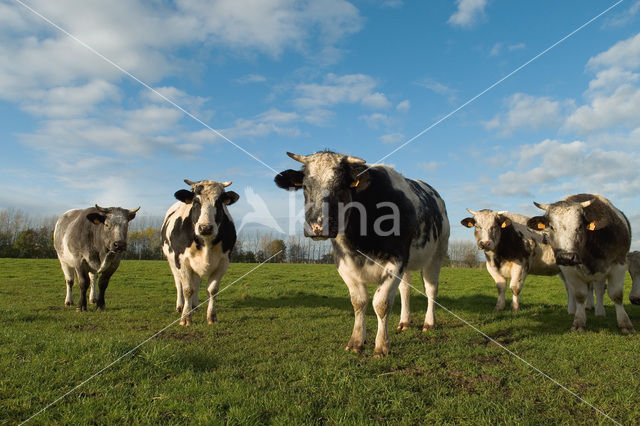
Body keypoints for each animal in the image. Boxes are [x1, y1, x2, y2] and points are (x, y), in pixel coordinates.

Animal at [161, 178, 239, 324]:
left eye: (219, 202)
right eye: (196, 202)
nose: (205, 228)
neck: (206, 242)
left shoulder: (223, 261)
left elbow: (212, 290)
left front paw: (212, 317)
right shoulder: (182, 260)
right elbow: (187, 289)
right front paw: (186, 318)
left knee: (196, 283)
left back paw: (194, 305)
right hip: (172, 261)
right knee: (179, 283)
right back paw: (180, 306)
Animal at [276, 150, 450, 356]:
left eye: (340, 186)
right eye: (304, 186)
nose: (317, 226)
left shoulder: (397, 260)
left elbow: (381, 303)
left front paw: (381, 346)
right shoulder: (344, 263)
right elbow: (359, 302)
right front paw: (356, 341)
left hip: (437, 253)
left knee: (431, 289)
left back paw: (429, 323)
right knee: (405, 289)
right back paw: (404, 322)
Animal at [460, 208, 604, 314]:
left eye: (495, 226)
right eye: (477, 226)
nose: (485, 243)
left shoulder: (521, 265)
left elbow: (514, 287)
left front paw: (514, 308)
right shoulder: (491, 267)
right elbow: (501, 287)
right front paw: (499, 307)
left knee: (593, 286)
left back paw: (591, 307)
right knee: (570, 287)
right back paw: (572, 310)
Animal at [524, 193, 636, 332]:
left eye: (580, 226)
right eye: (551, 227)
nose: (566, 257)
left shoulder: (619, 263)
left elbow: (617, 295)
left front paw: (625, 324)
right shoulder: (568, 270)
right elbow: (579, 295)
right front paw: (579, 322)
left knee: (599, 289)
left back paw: (599, 312)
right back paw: (576, 309)